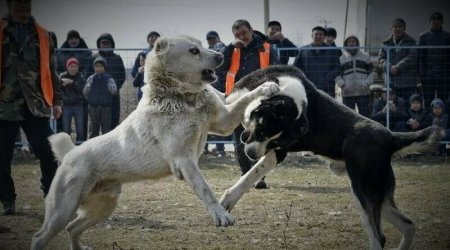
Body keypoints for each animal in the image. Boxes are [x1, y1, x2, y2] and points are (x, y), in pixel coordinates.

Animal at [30, 35, 278, 250]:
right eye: (194, 51)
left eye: (201, 45)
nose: (219, 56)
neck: (180, 97)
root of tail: (70, 153)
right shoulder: (184, 160)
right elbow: (205, 189)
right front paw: (220, 215)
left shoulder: (224, 121)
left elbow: (244, 98)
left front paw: (266, 87)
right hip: (63, 210)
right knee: (40, 236)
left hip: (102, 206)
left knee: (72, 228)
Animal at [221, 65, 442, 250]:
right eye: (261, 130)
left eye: (271, 139)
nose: (251, 154)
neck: (286, 91)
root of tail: (390, 136)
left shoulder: (278, 151)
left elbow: (251, 175)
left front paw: (228, 199)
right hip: (379, 195)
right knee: (409, 225)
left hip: (364, 191)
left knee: (380, 238)